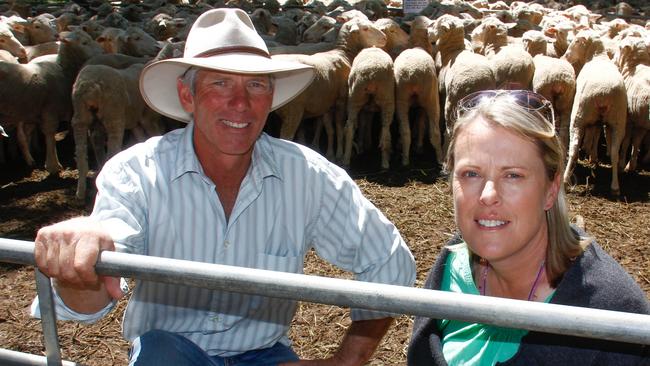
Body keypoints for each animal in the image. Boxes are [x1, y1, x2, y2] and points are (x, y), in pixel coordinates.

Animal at [70, 63, 162, 200]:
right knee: (113, 150)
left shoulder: (134, 121)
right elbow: (155, 134)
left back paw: (81, 191)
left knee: (82, 149)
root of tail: (91, 86)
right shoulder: (147, 118)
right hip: (114, 115)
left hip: (81, 115)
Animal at [272, 17, 388, 159]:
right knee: (286, 136)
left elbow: (329, 129)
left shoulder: (326, 103)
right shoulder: (341, 101)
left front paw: (330, 153)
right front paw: (339, 153)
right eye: (365, 28)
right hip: (293, 109)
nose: (384, 38)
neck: (343, 53)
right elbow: (339, 127)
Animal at [560, 30, 624, 196]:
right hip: (618, 120)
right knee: (615, 152)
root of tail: (603, 93)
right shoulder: (598, 121)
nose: (565, 57)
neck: (597, 55)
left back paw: (565, 180)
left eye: (576, 41)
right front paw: (593, 158)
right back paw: (615, 186)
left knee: (574, 148)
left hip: (579, 115)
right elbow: (595, 134)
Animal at [612, 36, 648, 174]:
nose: (612, 58)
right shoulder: (641, 123)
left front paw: (622, 163)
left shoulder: (628, 119)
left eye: (619, 48)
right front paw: (631, 165)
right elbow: (636, 142)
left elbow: (627, 141)